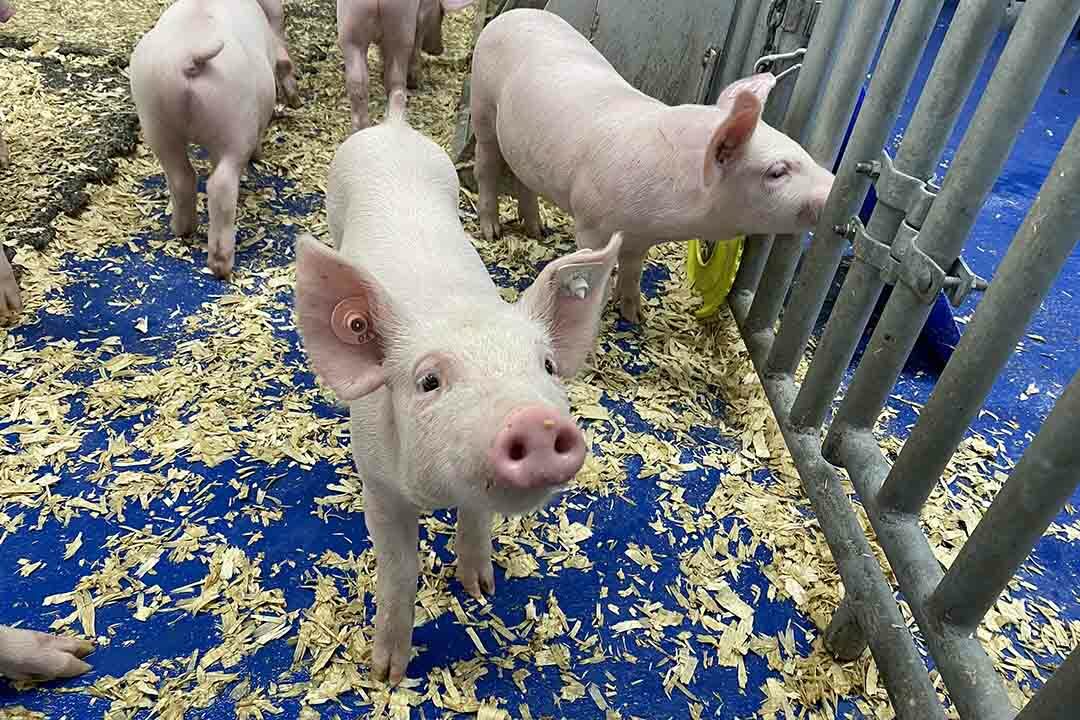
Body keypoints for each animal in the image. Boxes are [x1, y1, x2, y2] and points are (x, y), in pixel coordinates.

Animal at [130, 0, 302, 279]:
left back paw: (182, 230)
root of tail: (191, 58)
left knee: (181, 177)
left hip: (155, 118)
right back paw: (221, 265)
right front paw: (259, 155)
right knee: (221, 186)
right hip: (235, 125)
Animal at [294, 90, 620, 684]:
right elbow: (400, 569)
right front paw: (386, 674)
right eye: (429, 380)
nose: (535, 420)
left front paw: (481, 589)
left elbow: (478, 517)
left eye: (546, 366)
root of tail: (394, 126)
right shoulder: (379, 483)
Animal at [337, 0, 475, 132]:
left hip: (350, 31)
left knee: (357, 83)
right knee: (396, 81)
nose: (440, 50)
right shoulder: (422, 15)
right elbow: (417, 42)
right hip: (402, 29)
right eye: (442, 13)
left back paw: (359, 129)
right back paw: (411, 88)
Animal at [470, 8, 835, 323]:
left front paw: (637, 316)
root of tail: (511, 14)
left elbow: (634, 270)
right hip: (483, 106)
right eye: (777, 172)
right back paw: (492, 231)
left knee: (523, 179)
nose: (834, 190)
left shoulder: (642, 237)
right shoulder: (590, 221)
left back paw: (538, 229)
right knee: (485, 165)